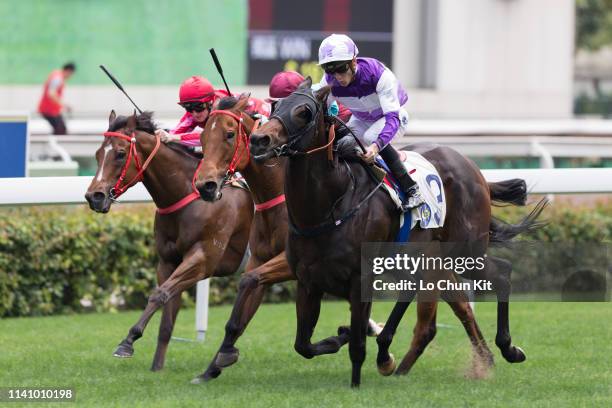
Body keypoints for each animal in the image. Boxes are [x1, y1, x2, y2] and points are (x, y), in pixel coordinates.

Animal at [85, 110, 252, 372]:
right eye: (98, 154)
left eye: (120, 153)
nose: (94, 197)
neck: (190, 196)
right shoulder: (167, 262)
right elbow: (166, 316)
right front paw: (157, 368)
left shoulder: (203, 260)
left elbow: (159, 294)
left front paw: (127, 342)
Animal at [249, 80, 544, 388]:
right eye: (275, 106)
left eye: (304, 112)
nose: (259, 140)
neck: (329, 206)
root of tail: (475, 171)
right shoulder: (308, 280)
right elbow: (303, 345)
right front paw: (341, 338)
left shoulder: (361, 278)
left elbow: (357, 345)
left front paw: (356, 382)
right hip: (420, 257)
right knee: (430, 295)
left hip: (464, 251)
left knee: (502, 271)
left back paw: (508, 349)